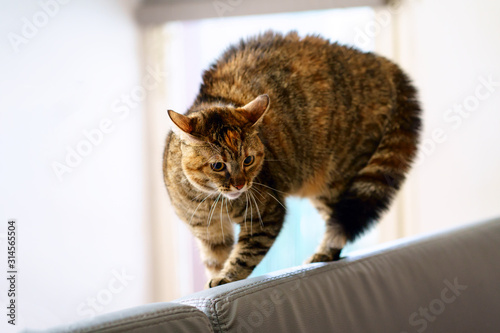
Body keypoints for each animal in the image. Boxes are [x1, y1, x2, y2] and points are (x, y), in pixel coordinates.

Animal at [164, 31, 422, 286]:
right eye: (218, 165)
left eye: (248, 160)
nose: (240, 184)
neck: (212, 202)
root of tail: (378, 61)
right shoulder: (209, 233)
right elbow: (215, 259)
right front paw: (217, 275)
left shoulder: (266, 214)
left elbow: (246, 254)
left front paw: (227, 277)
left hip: (340, 177)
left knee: (341, 222)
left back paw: (323, 253)